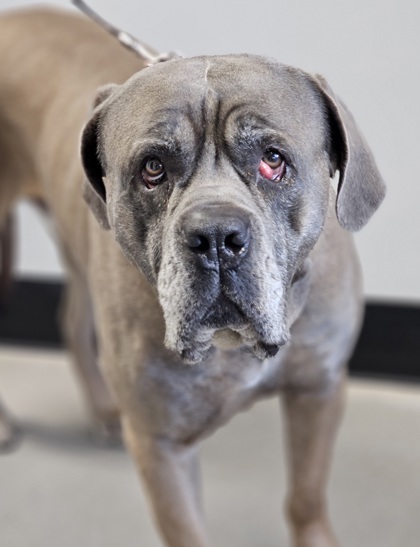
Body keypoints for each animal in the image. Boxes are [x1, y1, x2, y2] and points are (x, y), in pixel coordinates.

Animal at [0, 5, 386, 547]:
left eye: (273, 160)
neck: (231, 346)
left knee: (73, 318)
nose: (216, 237)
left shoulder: (319, 390)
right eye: (152, 168)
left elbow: (306, 499)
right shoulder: (161, 446)